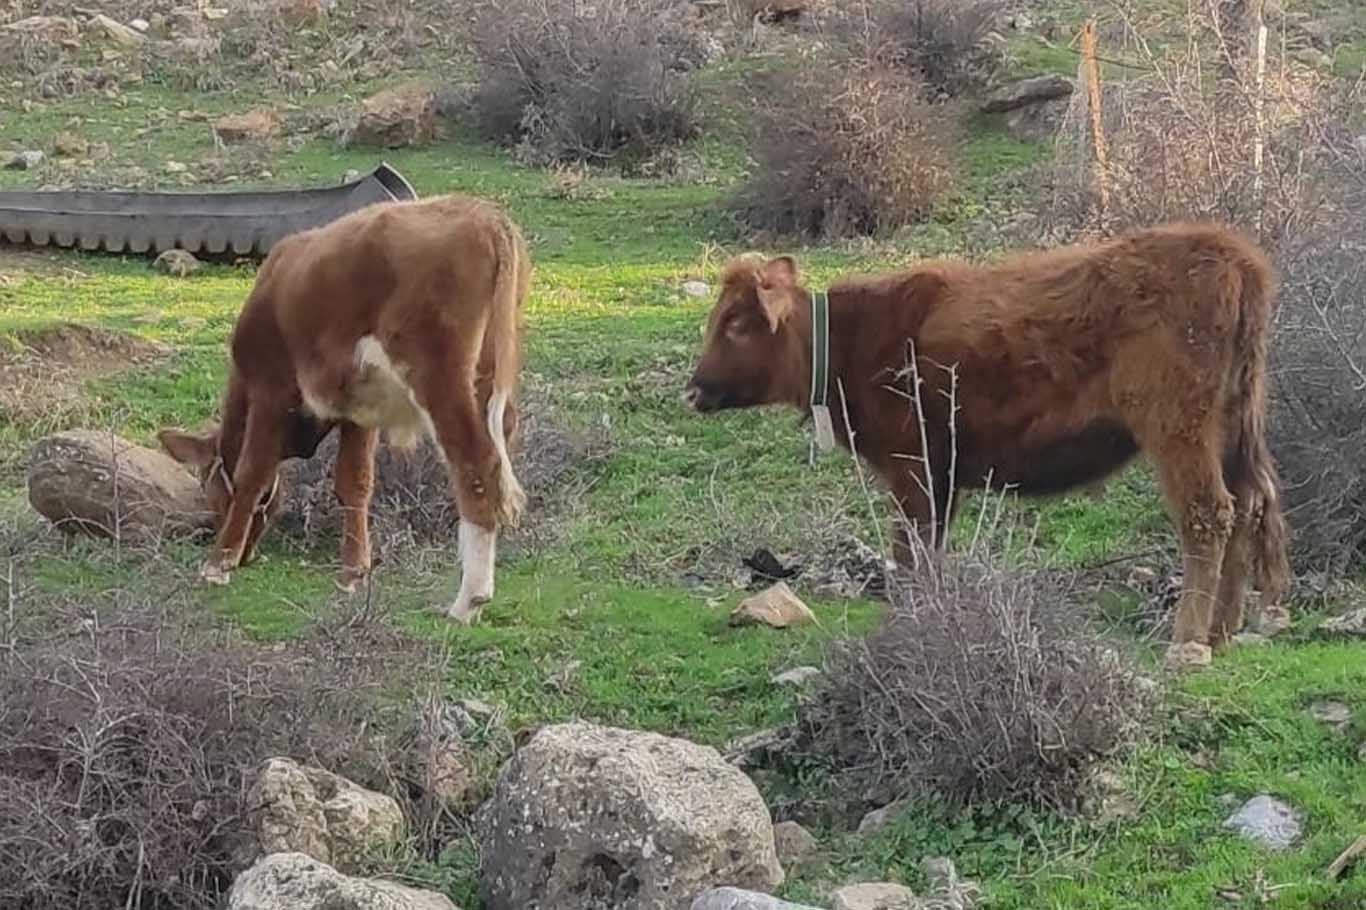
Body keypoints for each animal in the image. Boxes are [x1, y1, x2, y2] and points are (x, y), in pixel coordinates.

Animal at [155, 192, 527, 623]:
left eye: (209, 489)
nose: (245, 555)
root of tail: (482, 215)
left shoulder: (270, 389)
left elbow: (253, 474)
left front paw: (218, 564)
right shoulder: (359, 410)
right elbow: (355, 481)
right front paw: (353, 572)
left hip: (440, 375)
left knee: (475, 463)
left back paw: (469, 599)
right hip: (491, 371)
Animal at [683, 219, 1289, 658]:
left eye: (736, 322)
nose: (693, 389)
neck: (856, 338)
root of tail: (1231, 254)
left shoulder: (913, 467)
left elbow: (910, 553)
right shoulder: (943, 475)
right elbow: (928, 552)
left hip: (1178, 429)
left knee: (1208, 513)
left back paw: (1188, 642)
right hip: (1233, 428)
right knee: (1250, 504)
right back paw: (1223, 631)